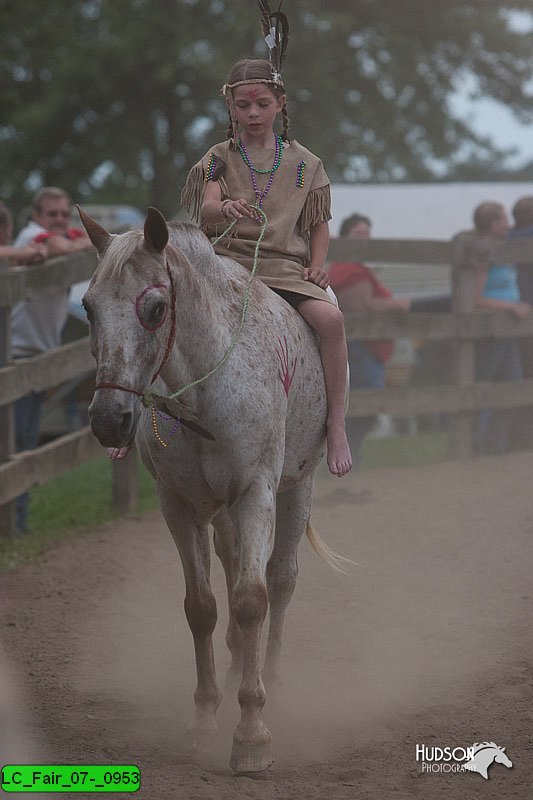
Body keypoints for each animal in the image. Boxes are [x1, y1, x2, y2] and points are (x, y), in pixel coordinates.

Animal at [80, 208, 342, 776]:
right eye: (87, 306)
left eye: (156, 307)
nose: (109, 420)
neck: (204, 387)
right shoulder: (178, 506)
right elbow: (201, 606)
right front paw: (204, 720)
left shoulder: (256, 493)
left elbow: (252, 600)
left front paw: (252, 734)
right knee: (230, 564)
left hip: (299, 487)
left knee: (281, 580)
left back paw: (273, 681)